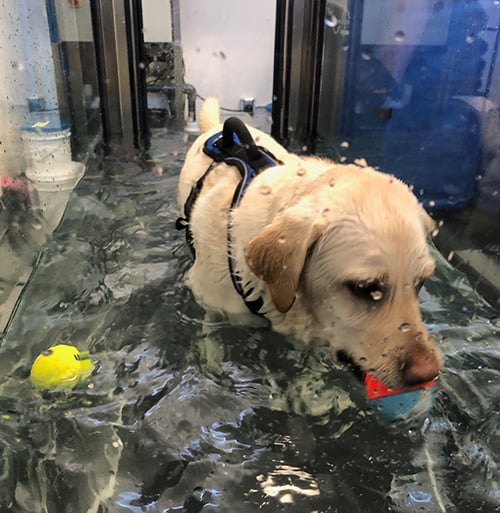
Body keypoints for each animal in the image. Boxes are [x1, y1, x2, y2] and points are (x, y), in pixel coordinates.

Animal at [178, 98, 444, 388]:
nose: (428, 374)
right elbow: (210, 336)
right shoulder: (211, 303)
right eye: (364, 288)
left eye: (420, 283)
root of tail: (218, 129)